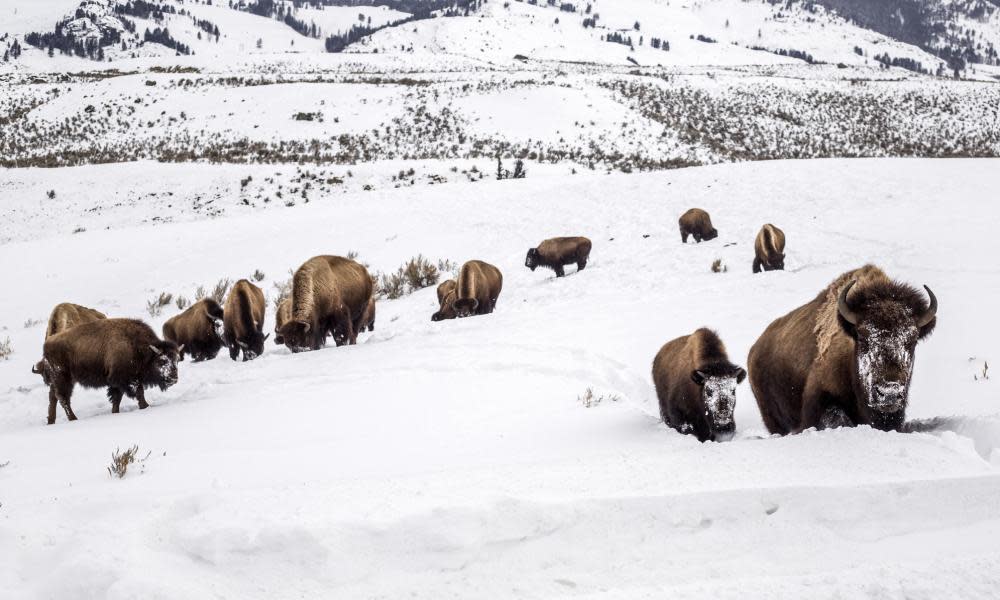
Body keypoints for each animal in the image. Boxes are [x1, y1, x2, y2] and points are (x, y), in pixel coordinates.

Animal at [32, 316, 182, 424]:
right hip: (63, 378)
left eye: (176, 360)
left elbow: (117, 398)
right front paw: (145, 406)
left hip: (60, 380)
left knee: (53, 397)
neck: (138, 347)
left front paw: (115, 412)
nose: (174, 378)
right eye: (162, 361)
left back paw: (51, 421)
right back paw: (73, 419)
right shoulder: (126, 379)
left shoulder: (117, 381)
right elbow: (138, 392)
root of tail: (47, 344)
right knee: (63, 398)